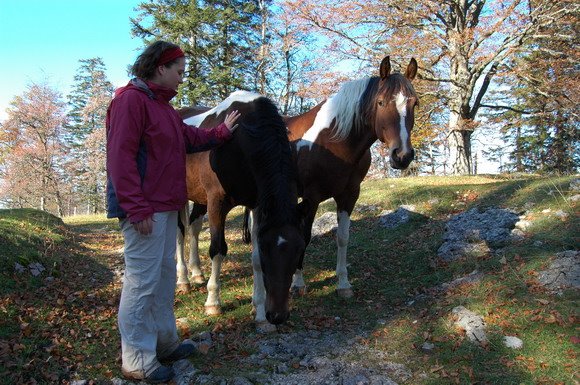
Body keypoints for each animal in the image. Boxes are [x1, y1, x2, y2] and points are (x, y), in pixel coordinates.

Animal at [176, 91, 304, 328]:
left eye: (300, 250)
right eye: (267, 249)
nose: (278, 316)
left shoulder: (256, 205)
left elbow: (254, 259)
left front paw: (259, 308)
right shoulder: (216, 203)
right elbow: (217, 249)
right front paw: (213, 302)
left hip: (198, 198)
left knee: (194, 228)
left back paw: (196, 273)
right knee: (180, 234)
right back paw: (183, 280)